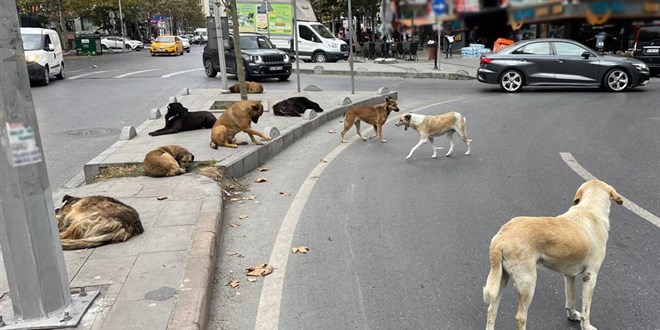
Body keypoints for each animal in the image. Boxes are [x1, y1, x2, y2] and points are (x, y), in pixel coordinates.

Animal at [482, 179, 620, 330]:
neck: (589, 209)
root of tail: (501, 237)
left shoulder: (569, 275)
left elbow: (570, 299)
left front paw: (572, 316)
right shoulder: (590, 276)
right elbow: (586, 310)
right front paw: (586, 326)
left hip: (501, 278)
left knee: (491, 310)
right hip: (528, 283)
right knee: (520, 317)